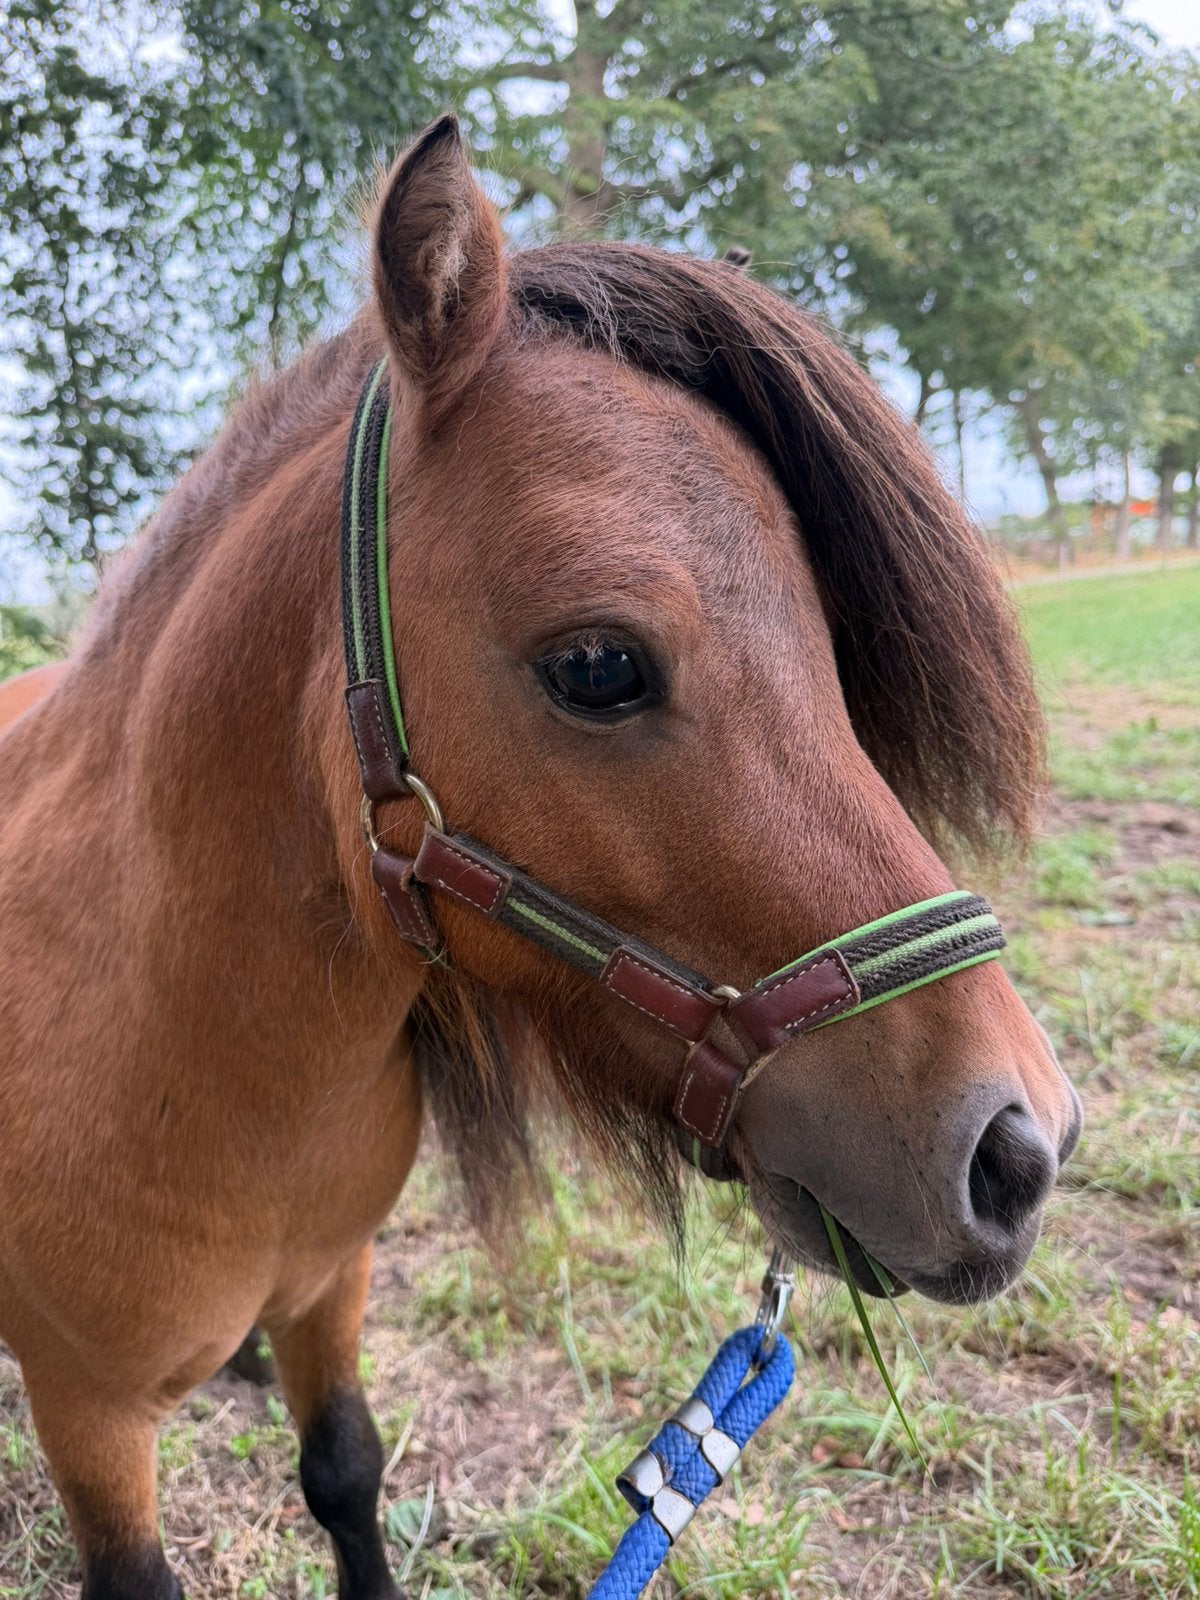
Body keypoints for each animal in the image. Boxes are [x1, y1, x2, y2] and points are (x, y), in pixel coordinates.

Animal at [0, 115, 1080, 1599]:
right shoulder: (90, 1414)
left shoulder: (332, 1290)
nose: (1021, 1148)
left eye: (824, 638)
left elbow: (345, 1475)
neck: (168, 1038)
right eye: (598, 666)